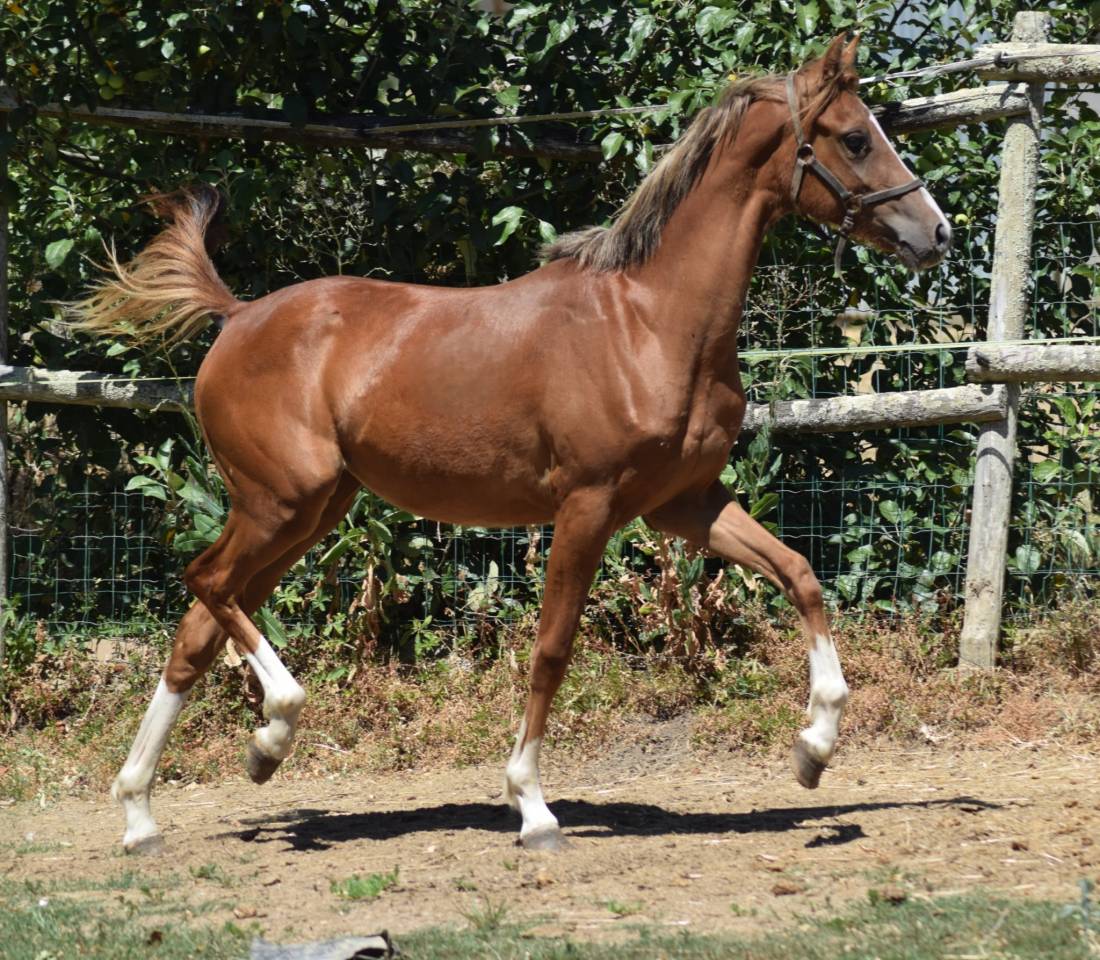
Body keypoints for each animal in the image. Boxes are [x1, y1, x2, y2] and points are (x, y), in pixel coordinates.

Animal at [70, 34, 950, 854]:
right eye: (855, 137)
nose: (933, 233)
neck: (650, 322)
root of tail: (238, 315)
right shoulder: (588, 505)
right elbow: (552, 649)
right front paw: (532, 807)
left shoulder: (682, 504)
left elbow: (800, 575)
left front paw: (815, 746)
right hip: (282, 501)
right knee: (207, 584)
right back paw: (270, 732)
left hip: (310, 512)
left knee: (198, 627)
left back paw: (151, 810)